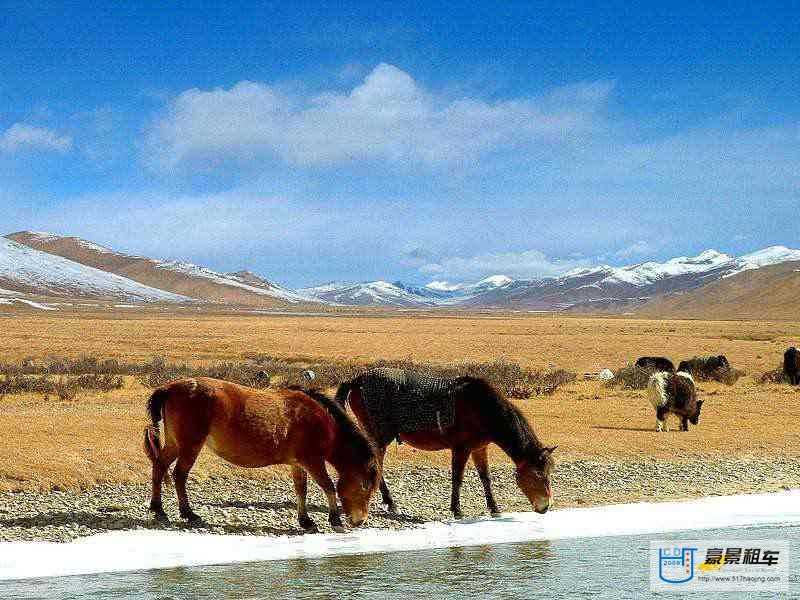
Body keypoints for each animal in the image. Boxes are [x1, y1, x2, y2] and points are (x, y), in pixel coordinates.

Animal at [143, 378, 378, 532]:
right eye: (365, 486)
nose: (360, 521)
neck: (321, 421)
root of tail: (170, 388)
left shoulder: (298, 463)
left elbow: (301, 490)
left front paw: (305, 521)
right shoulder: (313, 461)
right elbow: (328, 486)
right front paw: (334, 518)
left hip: (174, 444)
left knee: (159, 466)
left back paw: (158, 509)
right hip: (190, 446)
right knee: (179, 475)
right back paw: (188, 513)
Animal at [334, 368, 552, 516]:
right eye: (538, 475)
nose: (546, 507)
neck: (481, 407)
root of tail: (358, 379)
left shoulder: (479, 449)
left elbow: (485, 478)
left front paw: (494, 508)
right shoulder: (461, 449)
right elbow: (457, 478)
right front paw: (457, 509)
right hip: (379, 437)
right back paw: (390, 502)